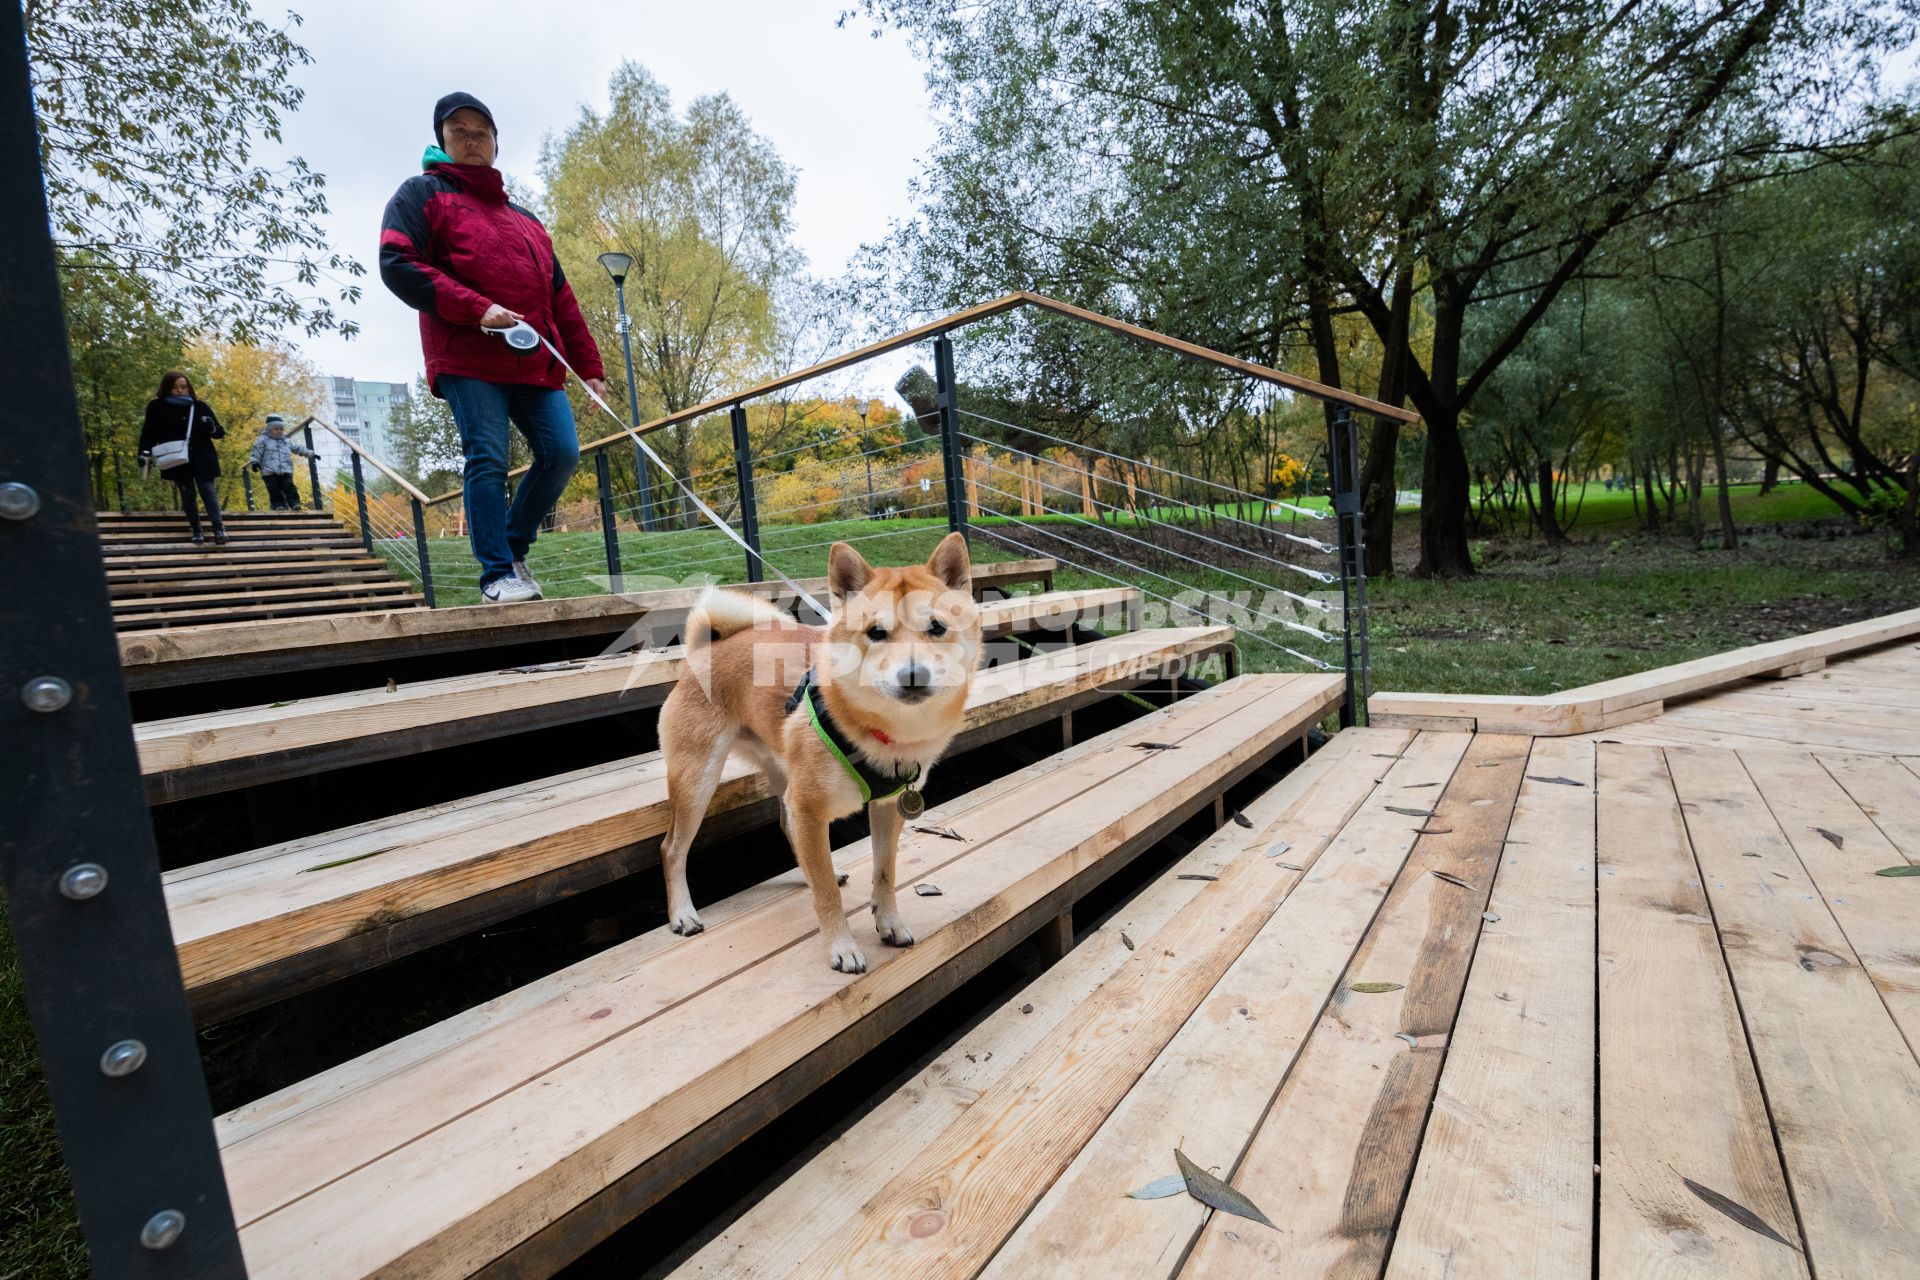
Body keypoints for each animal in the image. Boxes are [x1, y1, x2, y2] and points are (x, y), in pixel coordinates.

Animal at [664, 537, 990, 974]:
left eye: (936, 627)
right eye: (875, 632)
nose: (913, 674)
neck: (884, 733)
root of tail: (706, 647)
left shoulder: (886, 807)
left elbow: (885, 872)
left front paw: (889, 922)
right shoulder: (809, 806)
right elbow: (826, 898)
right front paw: (842, 946)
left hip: (781, 771)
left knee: (788, 827)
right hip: (697, 780)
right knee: (672, 849)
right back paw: (683, 914)